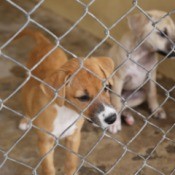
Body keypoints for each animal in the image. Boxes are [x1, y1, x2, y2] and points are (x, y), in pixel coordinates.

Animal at [17, 29, 117, 174]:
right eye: (83, 97)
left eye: (106, 88)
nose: (112, 118)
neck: (66, 112)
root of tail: (46, 44)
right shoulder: (45, 142)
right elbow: (48, 168)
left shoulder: (74, 137)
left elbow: (71, 163)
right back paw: (26, 120)